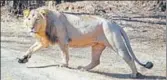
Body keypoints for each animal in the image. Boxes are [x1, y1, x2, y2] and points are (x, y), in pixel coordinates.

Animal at [18, 7, 153, 78]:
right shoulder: (44, 42)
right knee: (96, 61)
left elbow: (64, 54)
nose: (31, 28)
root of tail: (115, 23)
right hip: (97, 46)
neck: (43, 30)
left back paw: (134, 74)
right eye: (29, 19)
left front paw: (64, 64)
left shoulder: (63, 40)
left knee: (129, 58)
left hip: (116, 44)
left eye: (37, 19)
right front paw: (23, 59)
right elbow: (31, 48)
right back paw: (83, 68)